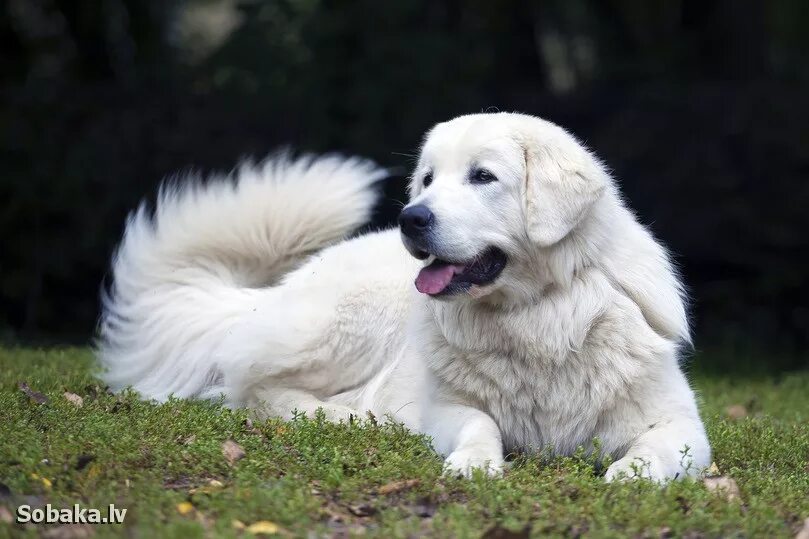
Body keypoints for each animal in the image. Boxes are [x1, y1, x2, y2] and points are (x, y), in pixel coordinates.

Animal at [99, 113, 708, 480]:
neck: (537, 317)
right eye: (429, 179)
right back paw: (346, 416)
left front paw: (631, 475)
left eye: (483, 176)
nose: (410, 218)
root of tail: (269, 294)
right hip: (352, 321)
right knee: (251, 388)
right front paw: (474, 463)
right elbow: (480, 424)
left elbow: (655, 451)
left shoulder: (683, 427)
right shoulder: (448, 408)